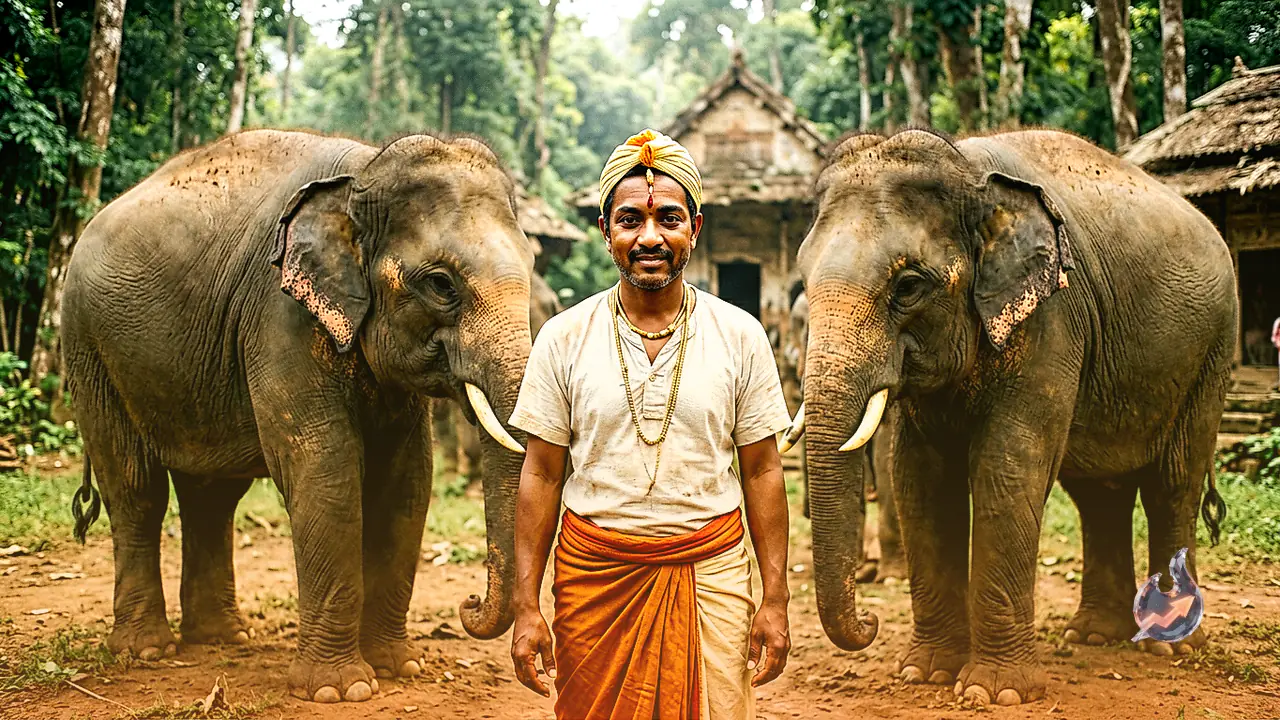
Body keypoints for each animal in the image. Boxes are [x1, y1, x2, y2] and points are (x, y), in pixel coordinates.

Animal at [61, 130, 534, 703]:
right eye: (441, 284)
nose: (468, 606)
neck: (362, 172)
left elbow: (407, 482)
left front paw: (400, 668)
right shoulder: (278, 315)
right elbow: (326, 470)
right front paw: (341, 691)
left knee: (211, 496)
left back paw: (222, 637)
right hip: (88, 348)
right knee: (134, 489)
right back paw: (147, 651)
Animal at [791, 129, 1235, 706]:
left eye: (908, 287)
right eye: (802, 276)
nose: (868, 622)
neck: (969, 170)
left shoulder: (1053, 317)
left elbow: (1007, 468)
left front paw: (992, 693)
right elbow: (919, 478)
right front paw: (924, 674)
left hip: (1211, 353)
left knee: (1173, 483)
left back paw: (1170, 644)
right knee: (1100, 494)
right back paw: (1094, 636)